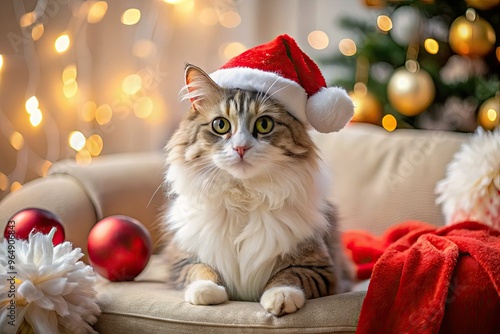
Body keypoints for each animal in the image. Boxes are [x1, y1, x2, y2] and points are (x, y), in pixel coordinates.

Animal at [162, 63, 354, 316]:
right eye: (220, 125)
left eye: (264, 124)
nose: (241, 148)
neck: (243, 197)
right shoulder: (181, 260)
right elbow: (200, 270)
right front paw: (206, 291)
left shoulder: (321, 267)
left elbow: (289, 275)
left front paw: (280, 297)